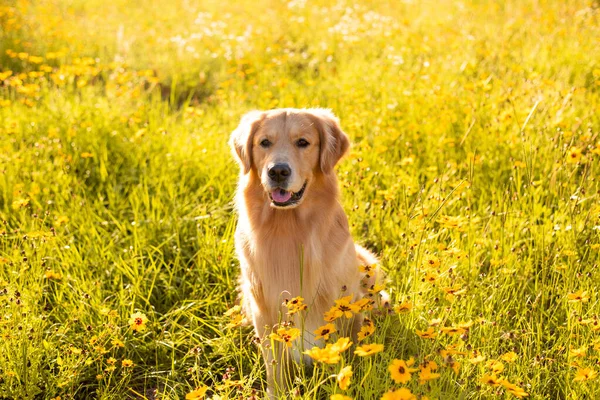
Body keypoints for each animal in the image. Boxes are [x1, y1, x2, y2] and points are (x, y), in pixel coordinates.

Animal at [230, 108, 384, 398]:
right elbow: (275, 363)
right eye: (264, 142)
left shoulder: (341, 301)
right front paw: (277, 392)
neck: (290, 230)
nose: (278, 171)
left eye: (303, 142)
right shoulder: (264, 308)